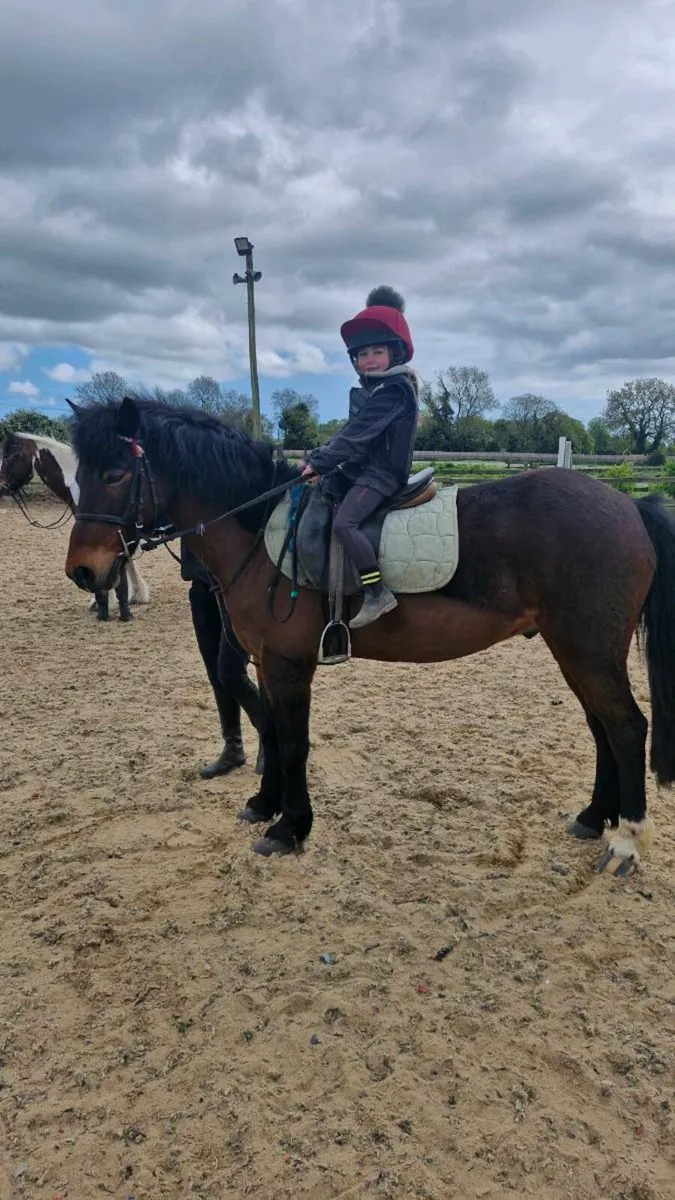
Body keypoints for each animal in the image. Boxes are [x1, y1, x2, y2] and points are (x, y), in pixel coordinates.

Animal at [64, 395, 675, 876]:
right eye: (79, 475)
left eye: (116, 473)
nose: (84, 572)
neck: (262, 529)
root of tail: (628, 504)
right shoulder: (265, 660)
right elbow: (270, 730)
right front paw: (264, 804)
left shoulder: (289, 663)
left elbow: (292, 741)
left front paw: (289, 827)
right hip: (574, 650)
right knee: (601, 727)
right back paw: (594, 818)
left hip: (587, 649)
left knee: (625, 727)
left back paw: (626, 842)